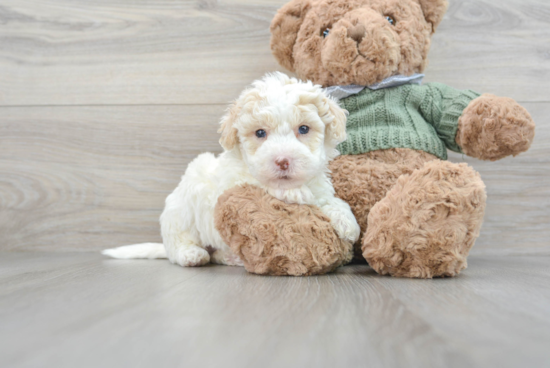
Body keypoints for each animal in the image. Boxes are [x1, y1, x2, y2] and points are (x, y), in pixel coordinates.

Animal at [103, 72, 362, 268]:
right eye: (260, 133)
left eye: (304, 129)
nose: (282, 161)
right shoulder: (231, 185)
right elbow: (263, 185)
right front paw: (293, 193)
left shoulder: (318, 185)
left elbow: (328, 200)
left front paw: (347, 221)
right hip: (179, 214)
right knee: (179, 243)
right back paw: (192, 254)